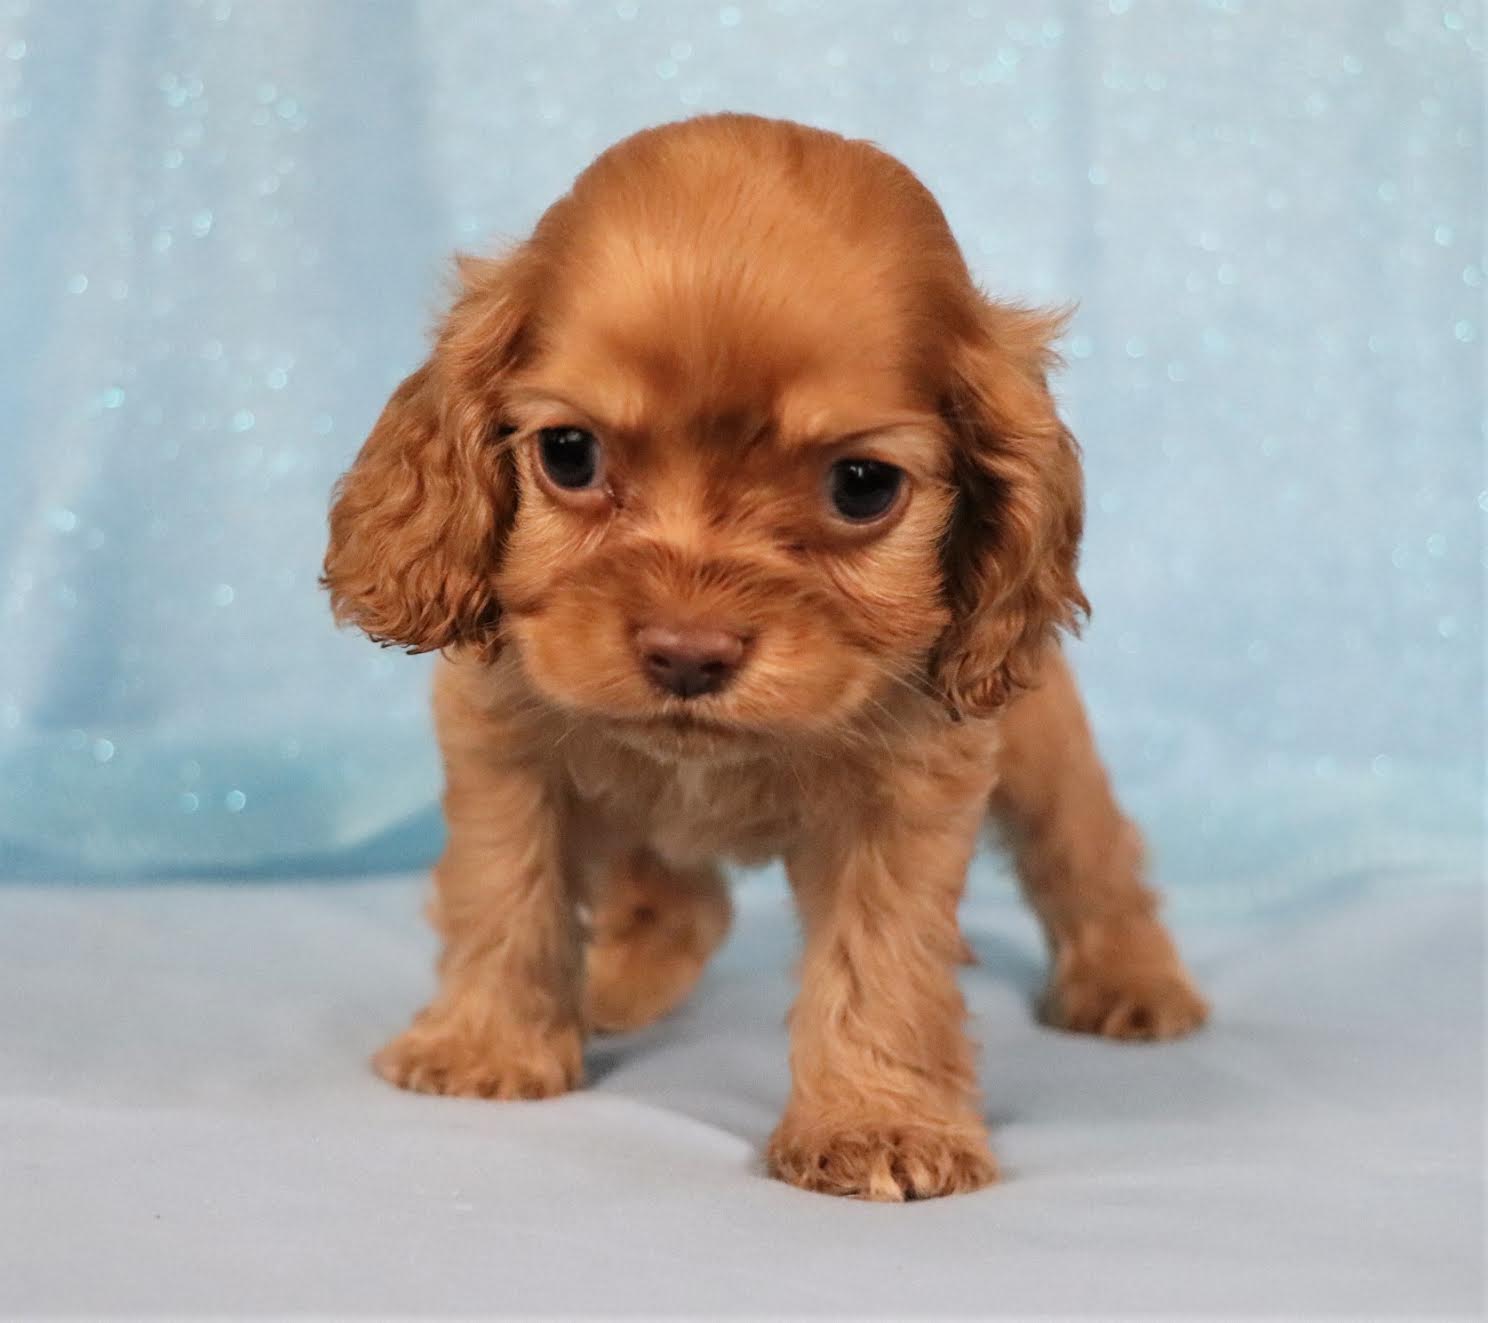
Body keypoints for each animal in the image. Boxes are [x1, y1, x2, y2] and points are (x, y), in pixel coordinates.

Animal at [325, 119, 1208, 1202]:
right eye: (569, 454)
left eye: (863, 485)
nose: (687, 653)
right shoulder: (504, 746)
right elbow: (507, 890)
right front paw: (486, 1045)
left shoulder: (907, 792)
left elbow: (882, 959)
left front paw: (877, 1121)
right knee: (682, 895)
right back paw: (614, 982)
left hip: (1038, 740)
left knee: (1085, 850)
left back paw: (1131, 979)